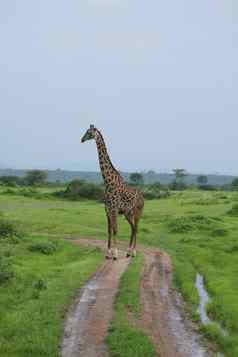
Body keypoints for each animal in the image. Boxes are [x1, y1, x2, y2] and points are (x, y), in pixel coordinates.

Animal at [81, 124, 144, 258]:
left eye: (89, 132)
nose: (82, 139)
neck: (108, 182)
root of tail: (143, 197)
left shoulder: (114, 209)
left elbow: (115, 229)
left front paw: (115, 254)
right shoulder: (107, 209)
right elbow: (109, 230)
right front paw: (108, 252)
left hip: (138, 212)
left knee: (136, 228)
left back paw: (133, 251)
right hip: (128, 213)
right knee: (133, 228)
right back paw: (128, 252)